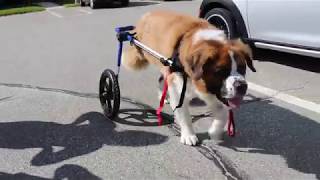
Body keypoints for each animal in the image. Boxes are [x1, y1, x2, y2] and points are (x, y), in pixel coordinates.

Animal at [121, 9, 256, 146]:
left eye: (242, 69)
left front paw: (215, 132)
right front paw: (188, 135)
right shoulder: (177, 88)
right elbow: (184, 115)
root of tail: (146, 16)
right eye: (220, 71)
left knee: (161, 79)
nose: (242, 86)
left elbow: (222, 112)